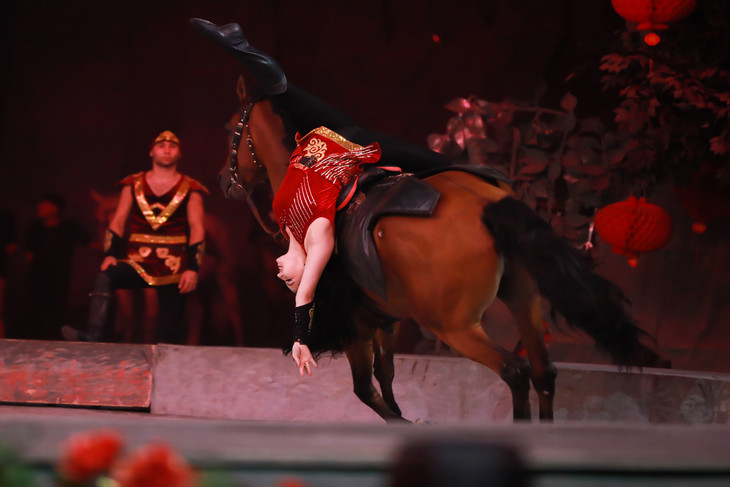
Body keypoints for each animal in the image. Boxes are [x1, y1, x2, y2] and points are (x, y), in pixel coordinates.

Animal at [196, 21, 655, 423]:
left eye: (229, 129)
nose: (222, 180)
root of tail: (486, 206)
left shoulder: (355, 322)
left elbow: (365, 389)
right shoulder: (384, 318)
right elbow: (386, 377)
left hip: (454, 325)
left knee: (515, 372)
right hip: (523, 298)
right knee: (544, 372)